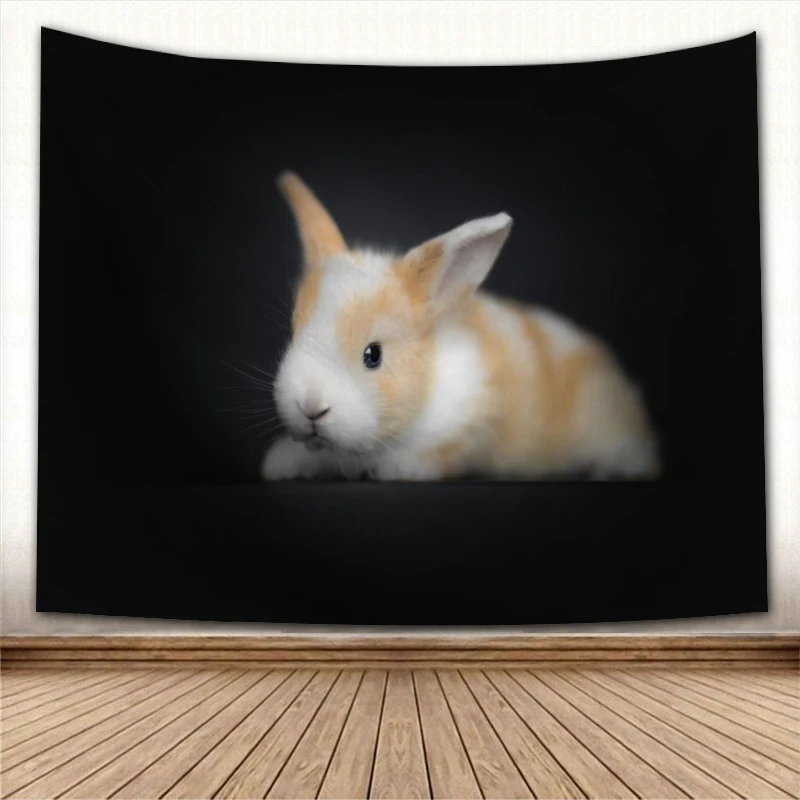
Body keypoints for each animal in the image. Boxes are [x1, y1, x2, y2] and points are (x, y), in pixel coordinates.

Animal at [261, 170, 662, 482]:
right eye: (293, 335)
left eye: (372, 355)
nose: (311, 406)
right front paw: (280, 464)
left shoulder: (470, 422)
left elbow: (445, 453)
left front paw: (396, 469)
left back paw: (621, 466)